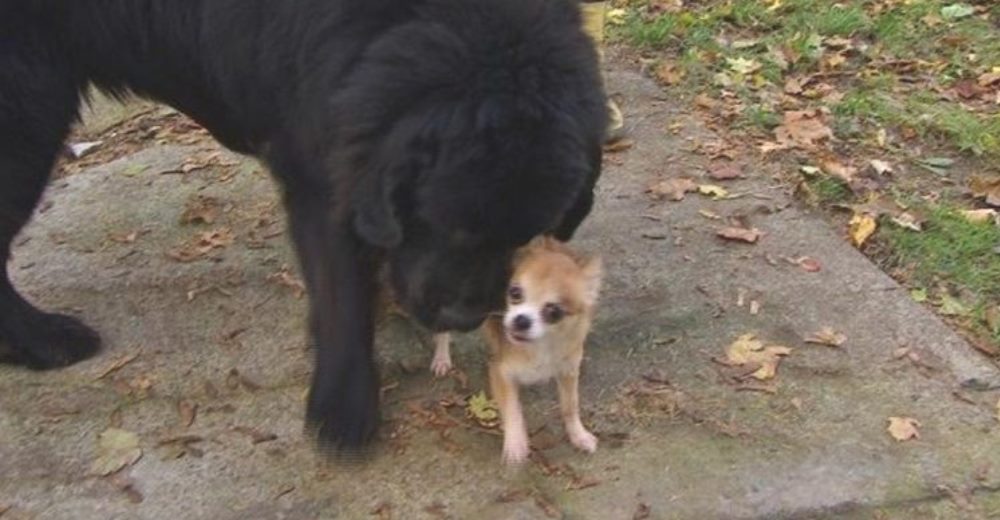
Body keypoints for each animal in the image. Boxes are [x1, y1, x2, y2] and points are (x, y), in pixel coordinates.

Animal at [0, 0, 600, 450]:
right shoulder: (322, 168)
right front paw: (344, 405)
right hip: (28, 115)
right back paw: (43, 340)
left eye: (523, 236)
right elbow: (342, 296)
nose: (462, 318)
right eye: (442, 220)